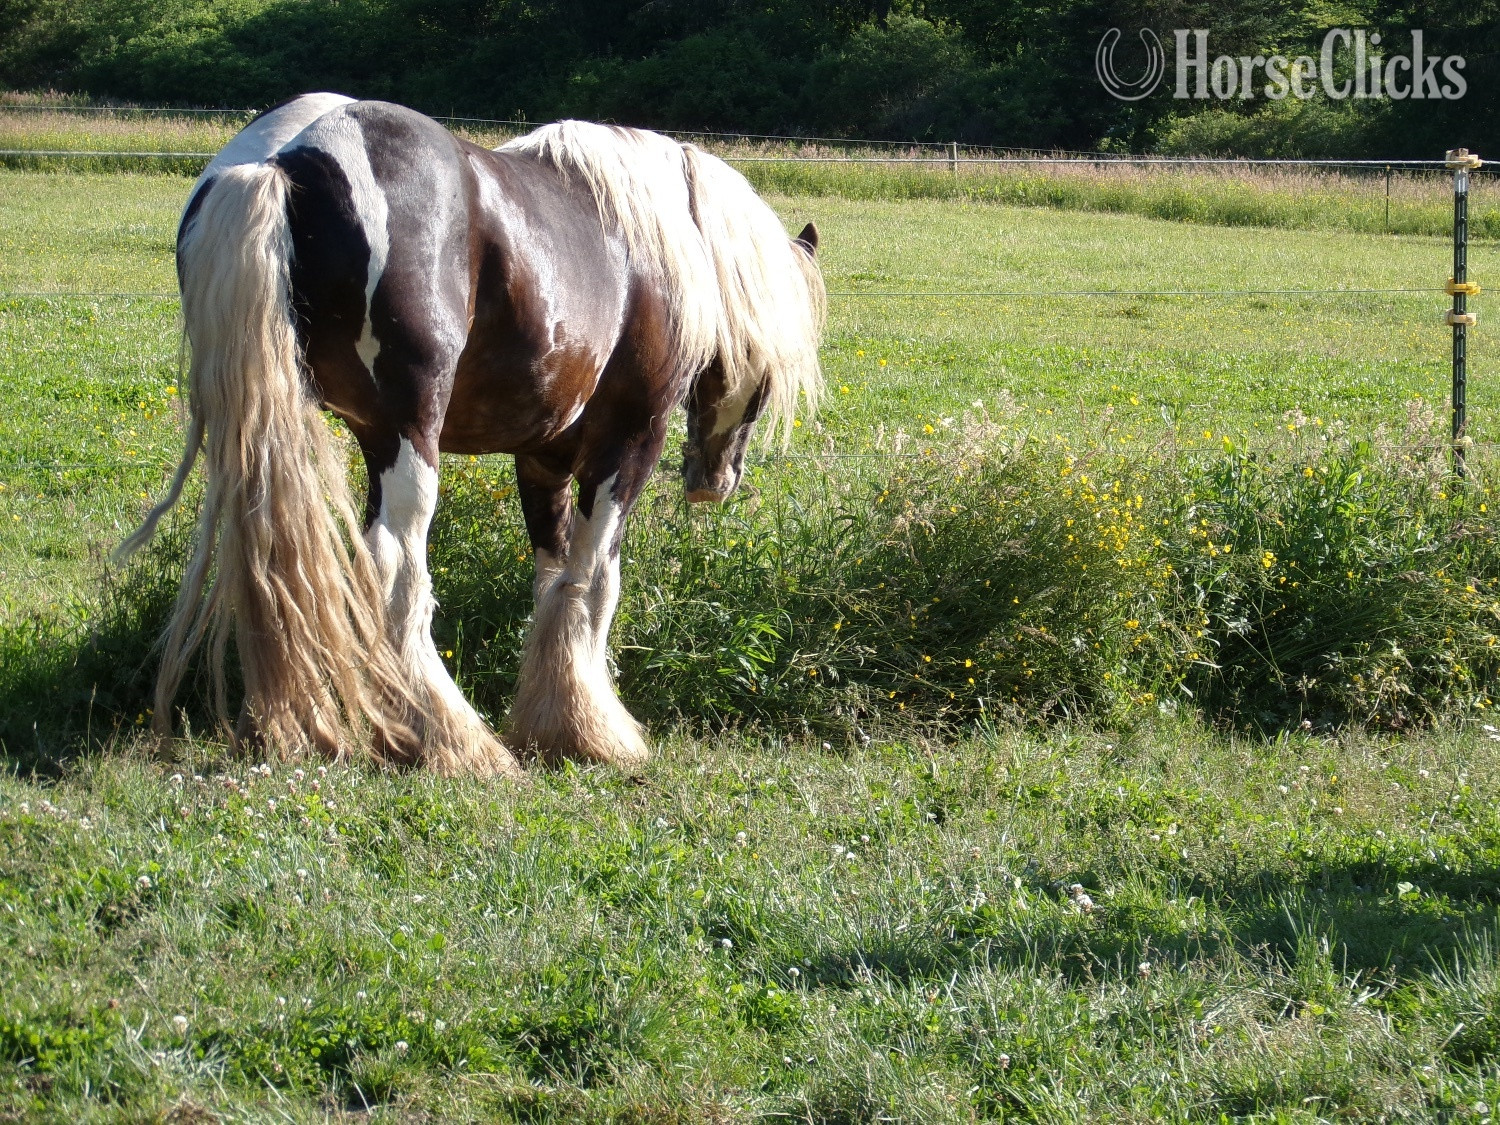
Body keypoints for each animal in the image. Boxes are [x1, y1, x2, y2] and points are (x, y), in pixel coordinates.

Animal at [116, 94, 825, 777]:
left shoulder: (542, 460)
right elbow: (595, 580)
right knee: (394, 567)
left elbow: (552, 577)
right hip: (408, 441)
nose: (716, 481)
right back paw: (450, 739)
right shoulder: (626, 444)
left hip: (328, 438)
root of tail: (282, 159)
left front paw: (554, 717)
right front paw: (596, 733)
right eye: (767, 375)